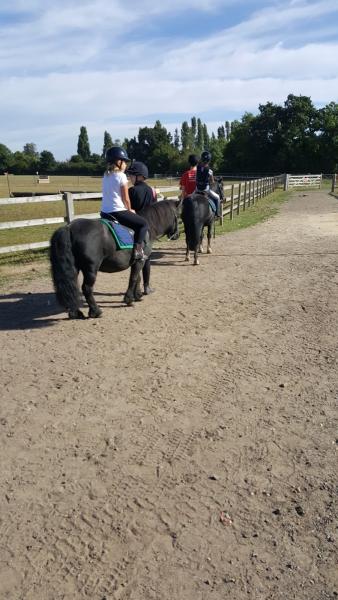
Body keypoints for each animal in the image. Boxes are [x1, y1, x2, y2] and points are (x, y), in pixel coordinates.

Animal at [49, 199, 180, 318]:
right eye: (178, 216)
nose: (177, 235)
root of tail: (69, 227)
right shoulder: (141, 260)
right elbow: (134, 278)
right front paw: (129, 299)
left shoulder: (136, 262)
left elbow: (137, 278)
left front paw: (137, 296)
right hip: (91, 269)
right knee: (86, 288)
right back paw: (96, 311)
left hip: (74, 268)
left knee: (72, 286)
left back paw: (75, 313)